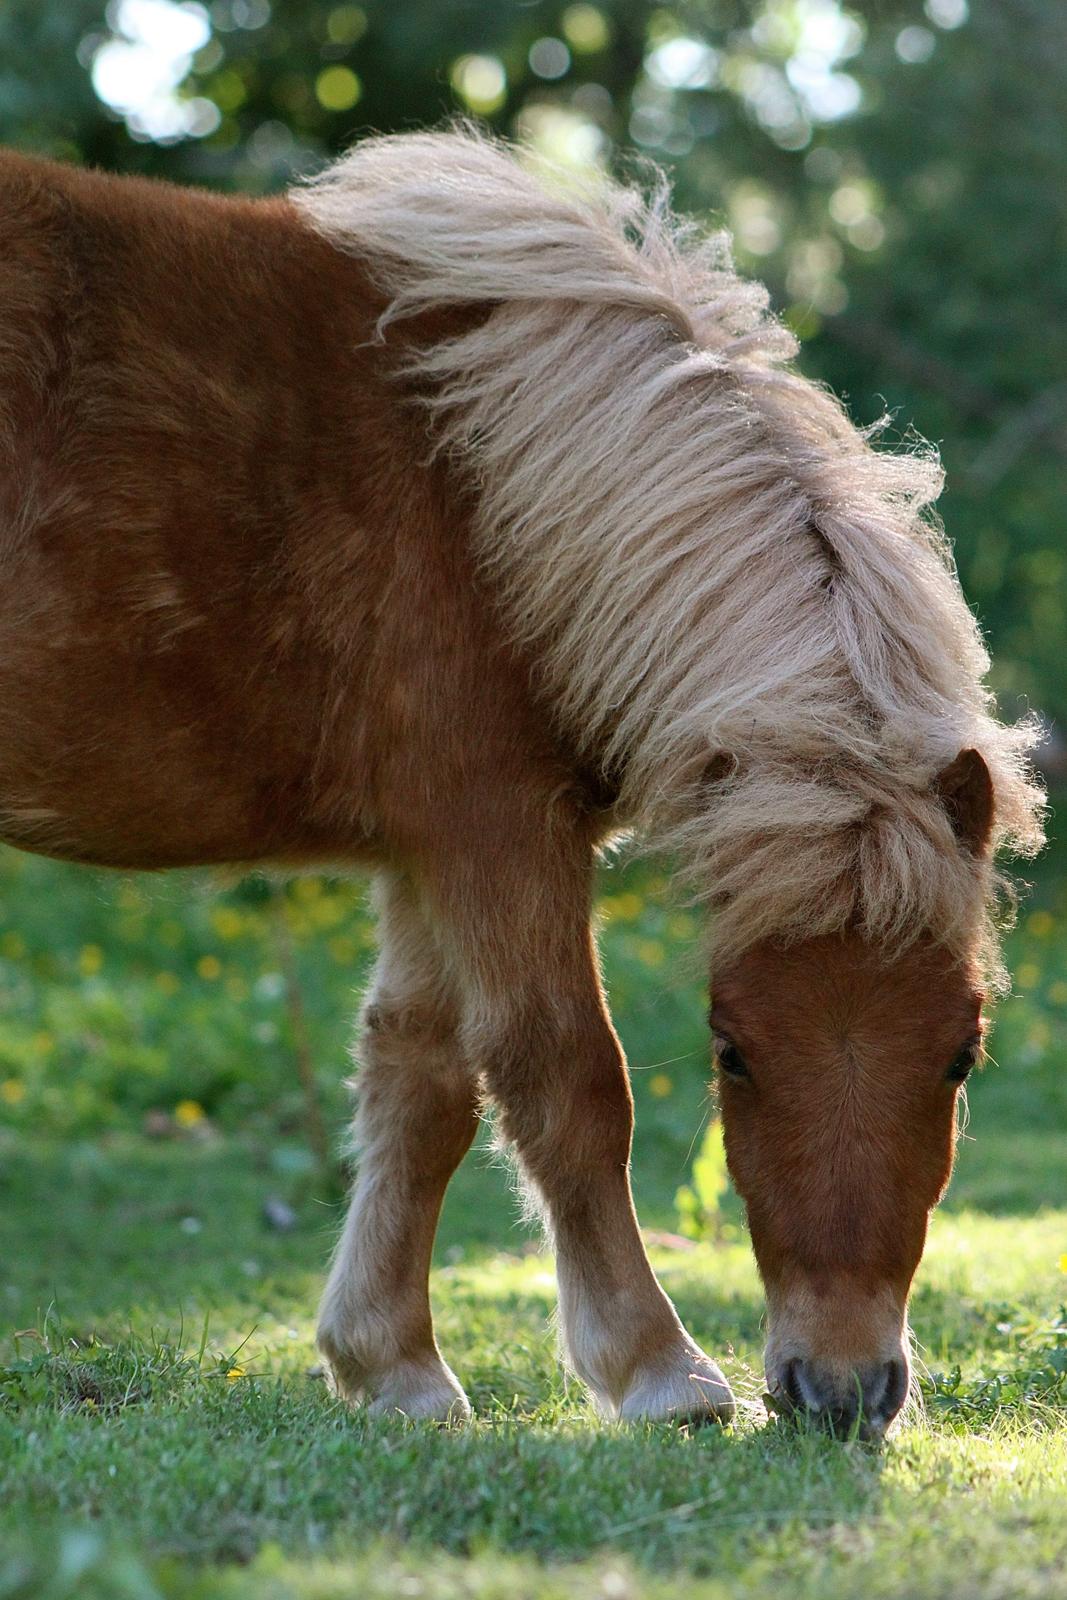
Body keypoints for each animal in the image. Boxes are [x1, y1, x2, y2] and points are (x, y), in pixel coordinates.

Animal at [0, 131, 1043, 1446]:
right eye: (730, 1051)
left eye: (959, 1053)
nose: (840, 1390)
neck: (479, 474)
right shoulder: (496, 829)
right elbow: (566, 1078)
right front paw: (657, 1369)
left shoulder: (428, 848)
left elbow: (422, 1078)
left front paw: (389, 1365)